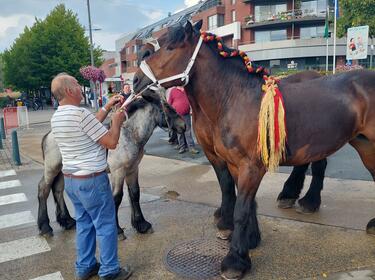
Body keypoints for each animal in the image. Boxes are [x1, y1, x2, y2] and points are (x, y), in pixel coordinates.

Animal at [36, 94, 187, 238]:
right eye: (166, 108)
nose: (183, 126)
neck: (129, 135)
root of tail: (49, 135)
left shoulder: (132, 169)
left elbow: (135, 194)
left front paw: (141, 225)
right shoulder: (118, 172)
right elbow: (117, 197)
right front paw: (118, 230)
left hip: (62, 170)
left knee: (58, 190)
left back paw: (67, 221)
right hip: (52, 168)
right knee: (44, 189)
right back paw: (45, 227)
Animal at [134, 20, 374, 278]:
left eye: (170, 48)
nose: (135, 80)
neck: (234, 98)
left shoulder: (250, 167)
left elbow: (241, 208)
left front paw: (235, 260)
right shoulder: (232, 163)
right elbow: (241, 198)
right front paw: (249, 240)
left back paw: (306, 201)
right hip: (362, 144)